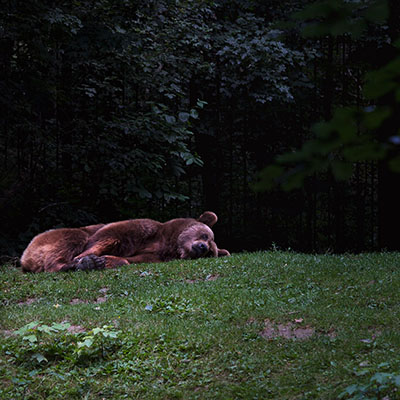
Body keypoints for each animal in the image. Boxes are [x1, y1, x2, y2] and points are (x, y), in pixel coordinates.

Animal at [20, 211, 230, 274]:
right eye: (206, 235)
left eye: (211, 252)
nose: (202, 248)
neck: (169, 243)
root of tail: (25, 258)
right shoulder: (143, 230)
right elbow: (108, 236)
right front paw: (86, 259)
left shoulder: (154, 256)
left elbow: (130, 259)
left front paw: (103, 261)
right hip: (51, 237)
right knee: (72, 238)